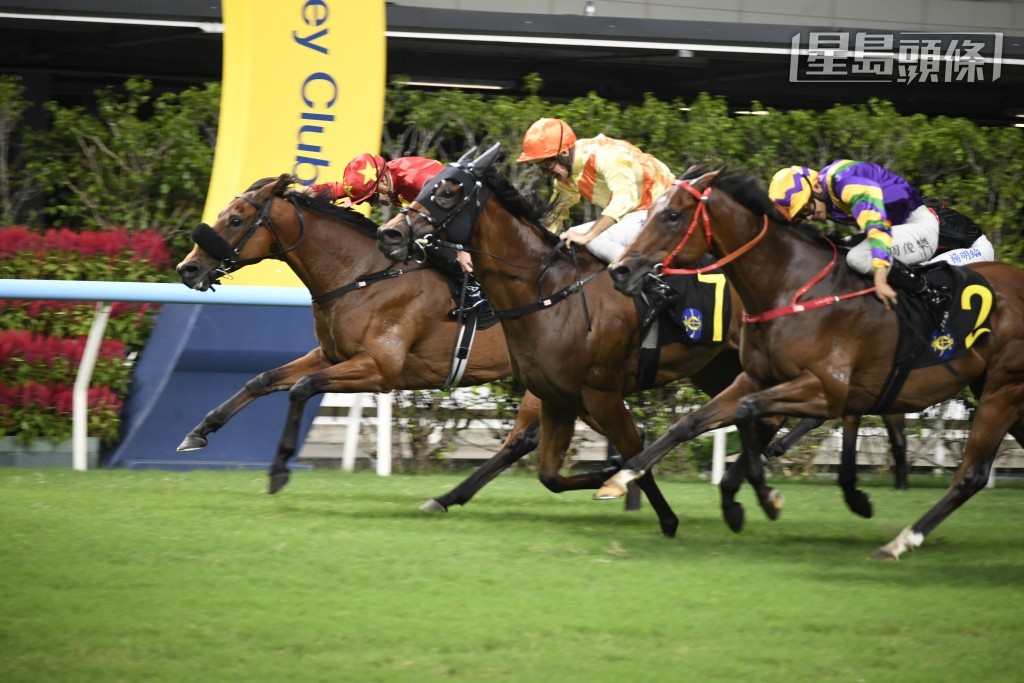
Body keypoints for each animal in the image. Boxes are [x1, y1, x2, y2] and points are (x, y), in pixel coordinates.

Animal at [176, 174, 545, 500]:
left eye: (236, 220)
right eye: (222, 215)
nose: (187, 269)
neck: (362, 276)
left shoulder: (379, 370)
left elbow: (302, 388)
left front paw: (279, 470)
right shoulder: (330, 354)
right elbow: (262, 380)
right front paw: (197, 433)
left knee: (522, 439)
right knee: (525, 440)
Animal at [375, 145, 908, 535]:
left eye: (448, 190)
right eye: (424, 185)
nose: (391, 235)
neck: (548, 293)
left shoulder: (602, 393)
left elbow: (632, 449)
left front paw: (655, 509)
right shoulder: (557, 397)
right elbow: (551, 474)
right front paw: (612, 480)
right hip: (725, 369)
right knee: (764, 414)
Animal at [602, 168, 1024, 559]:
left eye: (672, 215)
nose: (620, 271)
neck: (790, 285)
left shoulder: (826, 390)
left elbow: (749, 411)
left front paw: (764, 498)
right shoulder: (757, 377)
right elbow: (690, 423)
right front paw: (621, 476)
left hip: (1004, 388)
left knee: (971, 474)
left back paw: (900, 541)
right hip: (998, 391)